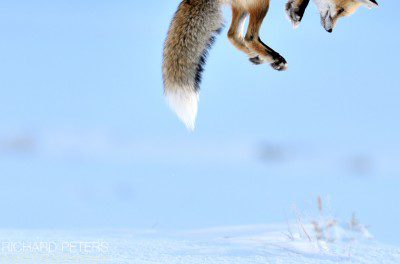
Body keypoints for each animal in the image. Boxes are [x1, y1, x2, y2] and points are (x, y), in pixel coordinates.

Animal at [162, 0, 378, 130]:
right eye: (340, 10)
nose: (330, 31)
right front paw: (296, 12)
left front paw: (293, 9)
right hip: (261, 4)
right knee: (248, 36)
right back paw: (269, 56)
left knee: (233, 35)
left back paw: (266, 58)